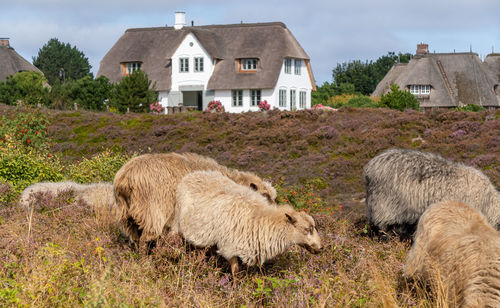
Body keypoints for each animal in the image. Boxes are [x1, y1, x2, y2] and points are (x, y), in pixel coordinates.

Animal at [113, 152, 278, 253]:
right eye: (264, 195)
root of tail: (125, 179)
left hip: (126, 217)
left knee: (135, 238)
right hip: (152, 212)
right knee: (145, 239)